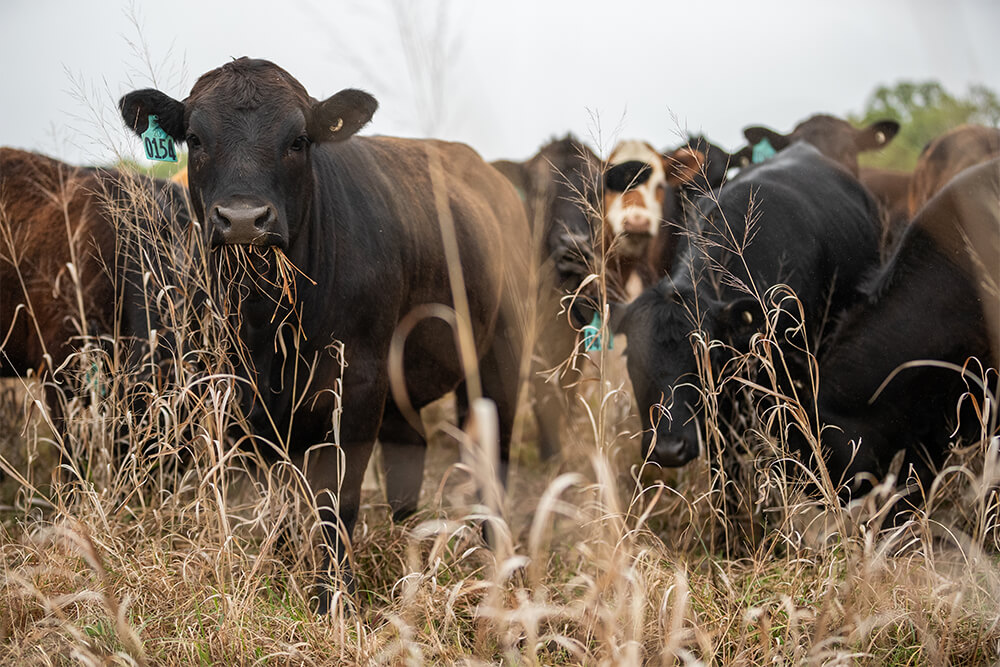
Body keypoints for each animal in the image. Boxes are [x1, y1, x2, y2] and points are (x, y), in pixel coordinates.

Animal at [117, 60, 532, 612]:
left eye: (298, 140)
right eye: (195, 139)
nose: (243, 220)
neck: (268, 323)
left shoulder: (356, 387)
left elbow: (339, 499)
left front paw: (333, 596)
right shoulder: (241, 394)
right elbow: (280, 497)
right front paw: (278, 571)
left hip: (498, 358)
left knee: (492, 455)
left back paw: (495, 553)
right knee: (410, 449)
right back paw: (407, 536)